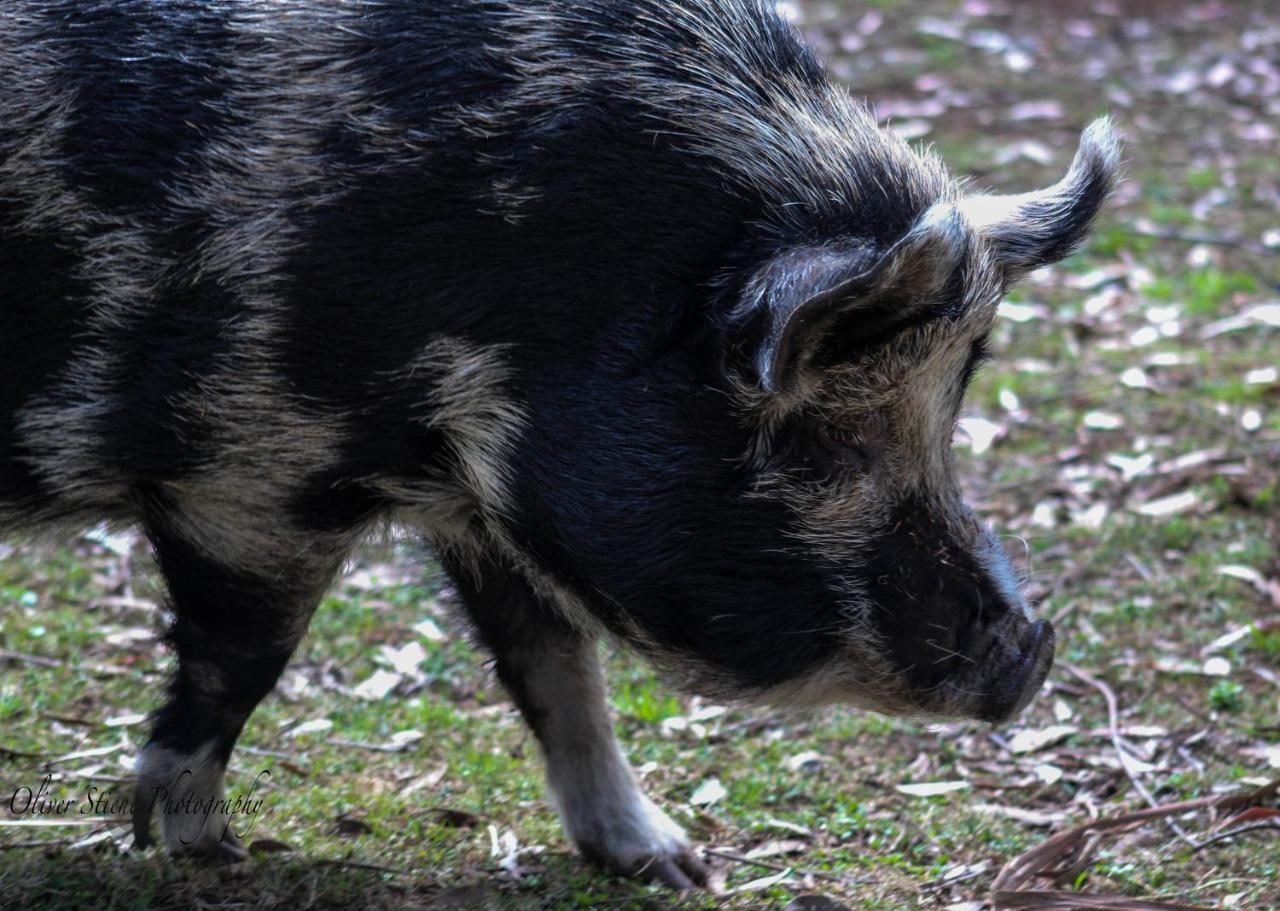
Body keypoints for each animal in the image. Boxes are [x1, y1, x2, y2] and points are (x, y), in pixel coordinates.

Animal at [0, 0, 1116, 890]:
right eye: (822, 444)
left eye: (946, 413)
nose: (1033, 649)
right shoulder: (246, 469)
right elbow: (244, 658)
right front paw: (202, 848)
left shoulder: (489, 501)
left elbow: (560, 672)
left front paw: (677, 866)